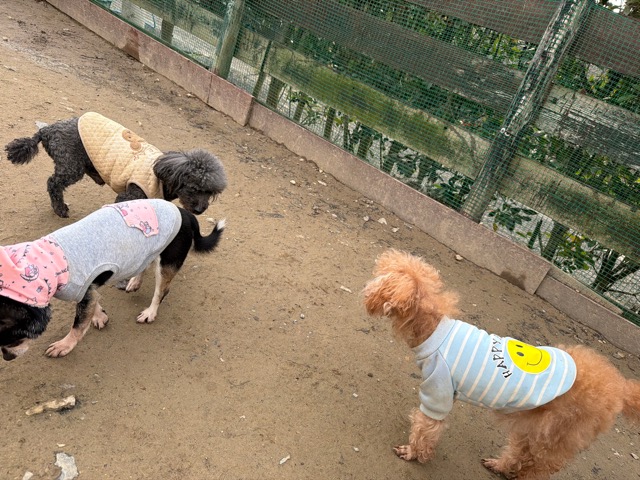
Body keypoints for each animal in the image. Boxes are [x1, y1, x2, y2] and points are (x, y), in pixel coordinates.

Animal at [0, 199, 225, 360]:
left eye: (13, 339)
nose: (7, 358)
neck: (49, 261)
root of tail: (186, 214)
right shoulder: (88, 291)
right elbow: (93, 305)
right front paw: (99, 316)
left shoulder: (85, 289)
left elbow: (78, 325)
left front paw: (64, 345)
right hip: (146, 251)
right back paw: (135, 281)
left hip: (167, 262)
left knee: (161, 291)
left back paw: (150, 312)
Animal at [4, 112, 227, 217]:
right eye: (195, 188)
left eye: (211, 193)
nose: (201, 210)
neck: (163, 176)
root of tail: (46, 130)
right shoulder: (130, 195)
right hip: (71, 166)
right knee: (53, 183)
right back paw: (60, 209)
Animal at [363, 249, 640, 479]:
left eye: (380, 277)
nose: (366, 288)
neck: (432, 330)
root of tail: (620, 387)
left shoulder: (437, 394)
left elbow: (424, 429)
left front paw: (412, 453)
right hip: (534, 423)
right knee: (520, 452)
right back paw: (500, 465)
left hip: (558, 437)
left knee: (537, 467)